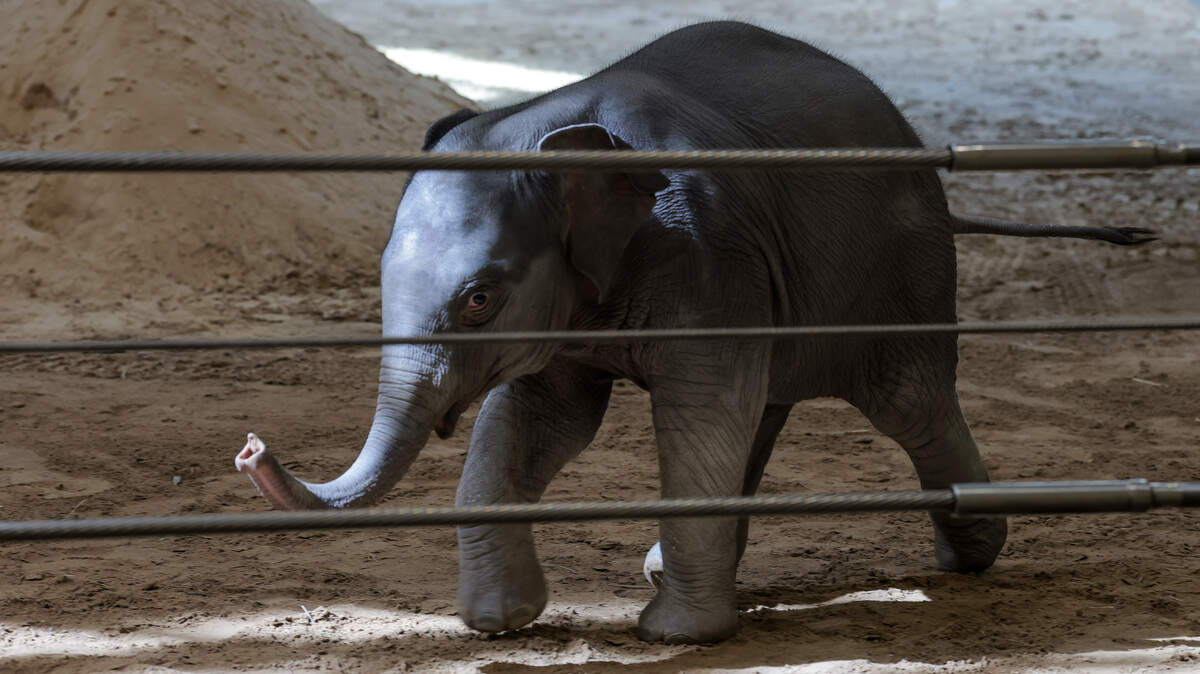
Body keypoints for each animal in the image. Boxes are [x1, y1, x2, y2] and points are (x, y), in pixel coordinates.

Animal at [235, 21, 1151, 644]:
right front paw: (501, 622)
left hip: (904, 267)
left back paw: (972, 553)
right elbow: (541, 420)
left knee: (908, 400)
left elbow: (699, 405)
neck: (554, 130)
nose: (249, 447)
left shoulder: (707, 252)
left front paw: (674, 636)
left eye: (479, 300)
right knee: (767, 407)